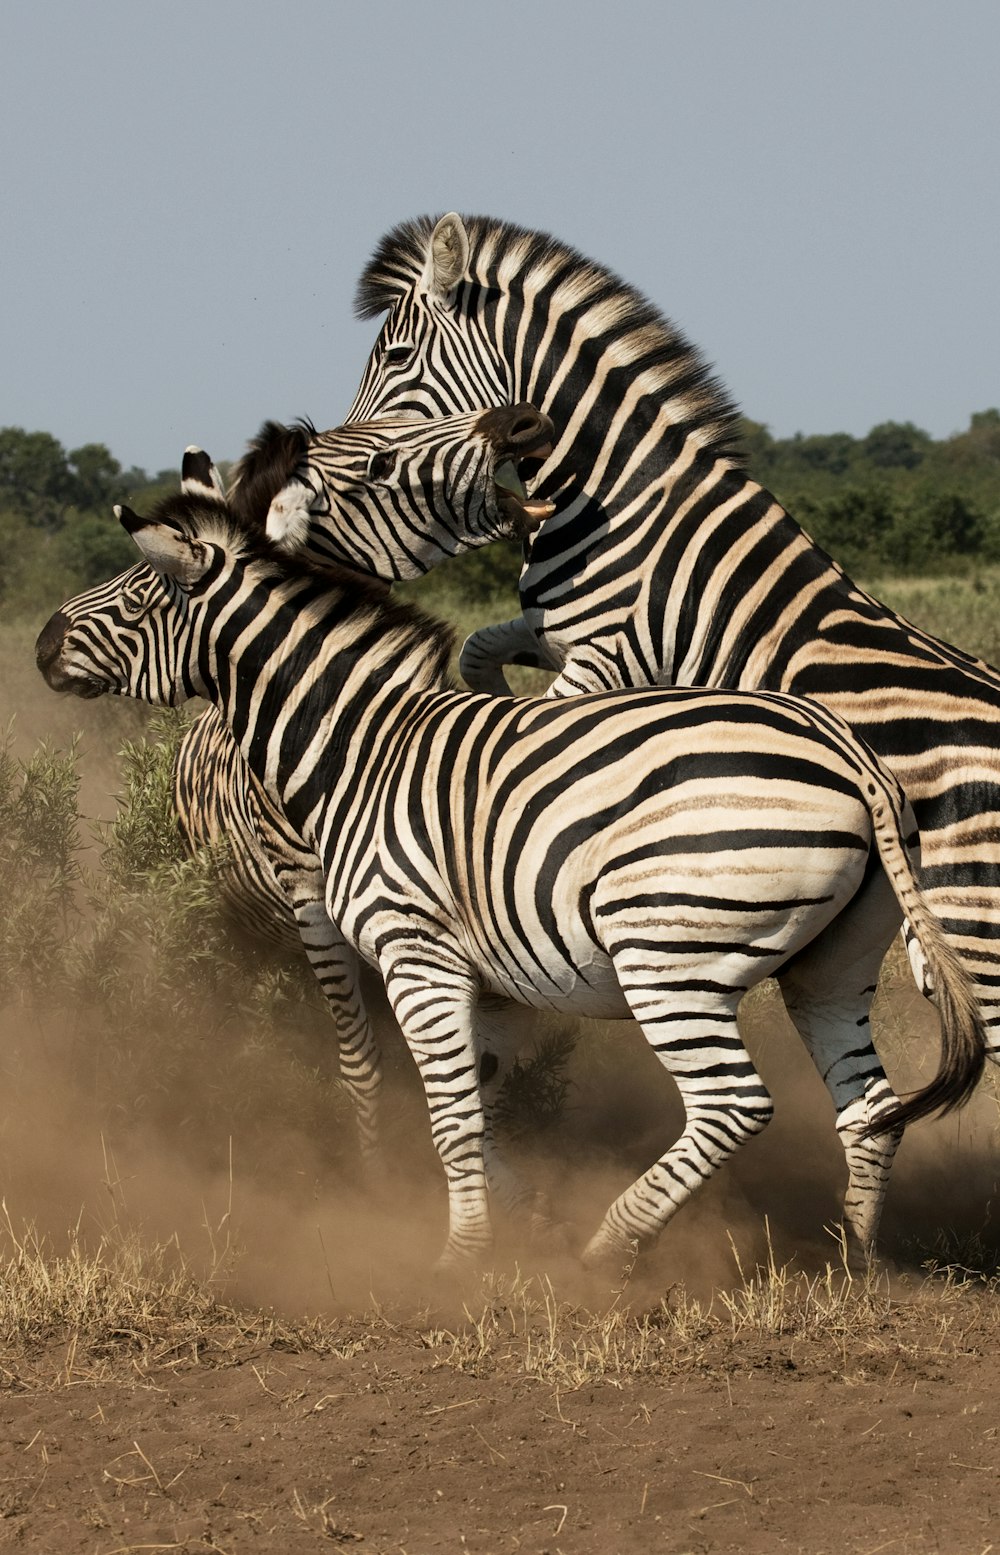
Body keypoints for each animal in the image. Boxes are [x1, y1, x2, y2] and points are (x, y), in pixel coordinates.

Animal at [33, 475, 982, 1275]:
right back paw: (851, 1257)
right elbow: (480, 1106)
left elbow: (451, 1116)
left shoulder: (415, 952)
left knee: (732, 1104)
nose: (41, 642)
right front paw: (524, 1219)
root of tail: (849, 753)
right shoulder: (485, 976)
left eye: (138, 593)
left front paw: (461, 1257)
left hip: (666, 953)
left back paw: (611, 1248)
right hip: (830, 965)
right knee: (869, 1107)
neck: (358, 752)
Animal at [281, 206, 1000, 1051]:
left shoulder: (607, 653)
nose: (334, 461)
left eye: (395, 356)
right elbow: (479, 649)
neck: (620, 495)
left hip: (979, 922)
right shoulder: (559, 628)